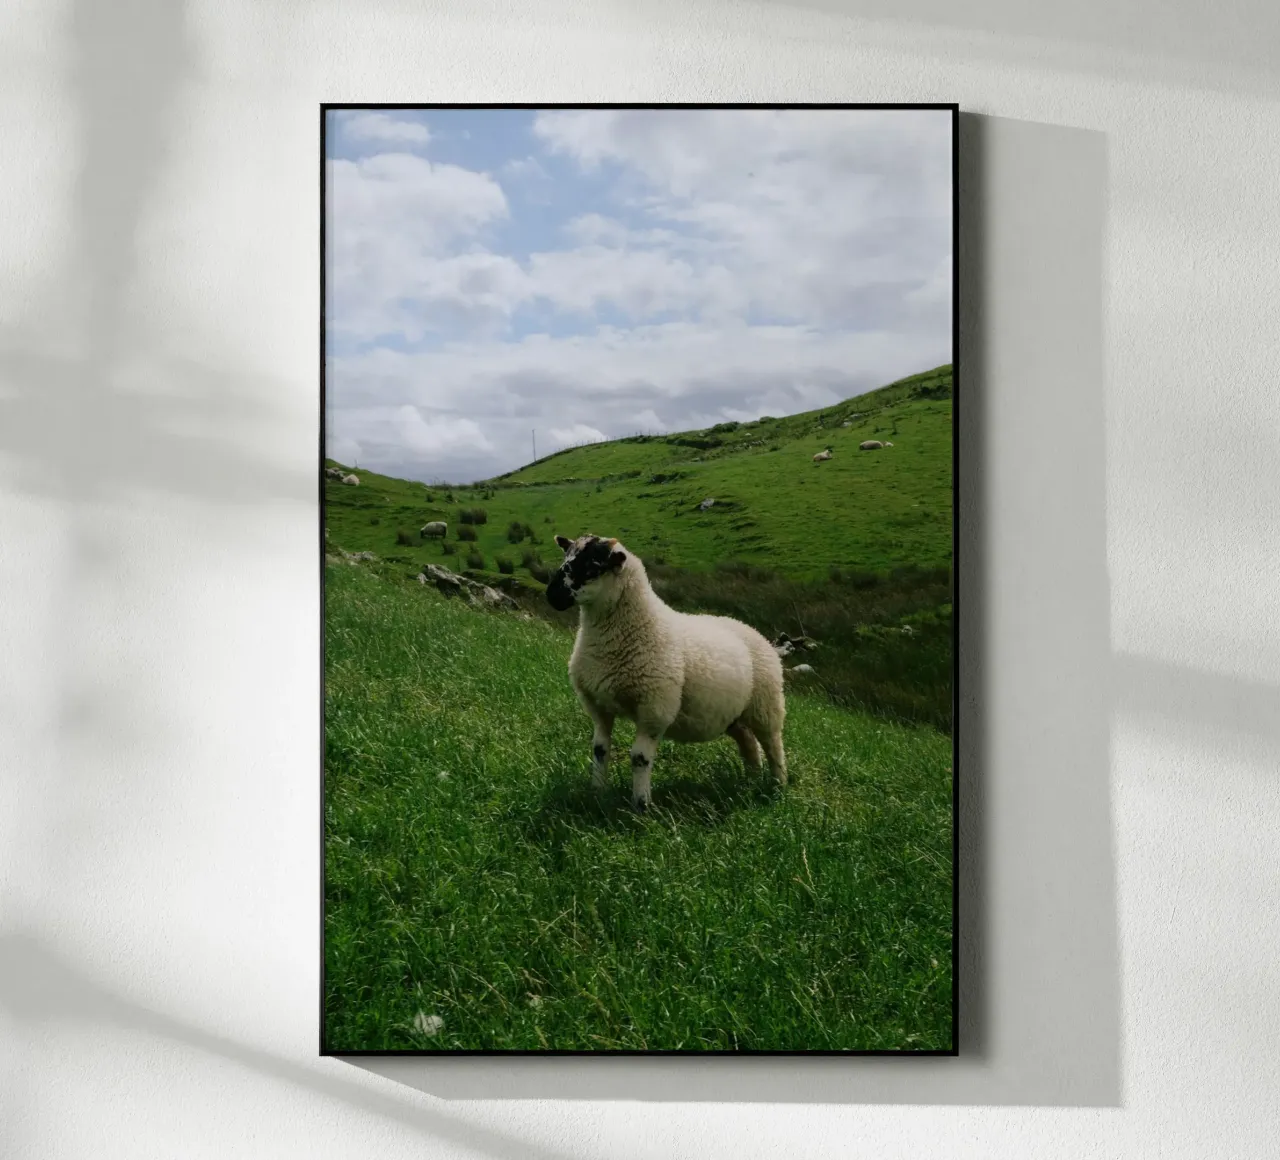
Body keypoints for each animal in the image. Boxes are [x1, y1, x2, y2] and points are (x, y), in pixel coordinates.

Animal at [548, 533, 786, 811]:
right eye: (566, 557)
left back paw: (778, 785)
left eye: (592, 567)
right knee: (749, 743)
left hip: (765, 706)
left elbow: (639, 758)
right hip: (733, 715)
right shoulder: (598, 706)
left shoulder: (655, 709)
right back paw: (751, 780)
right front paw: (597, 793)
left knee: (773, 745)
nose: (551, 594)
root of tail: (750, 628)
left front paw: (641, 806)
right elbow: (599, 750)